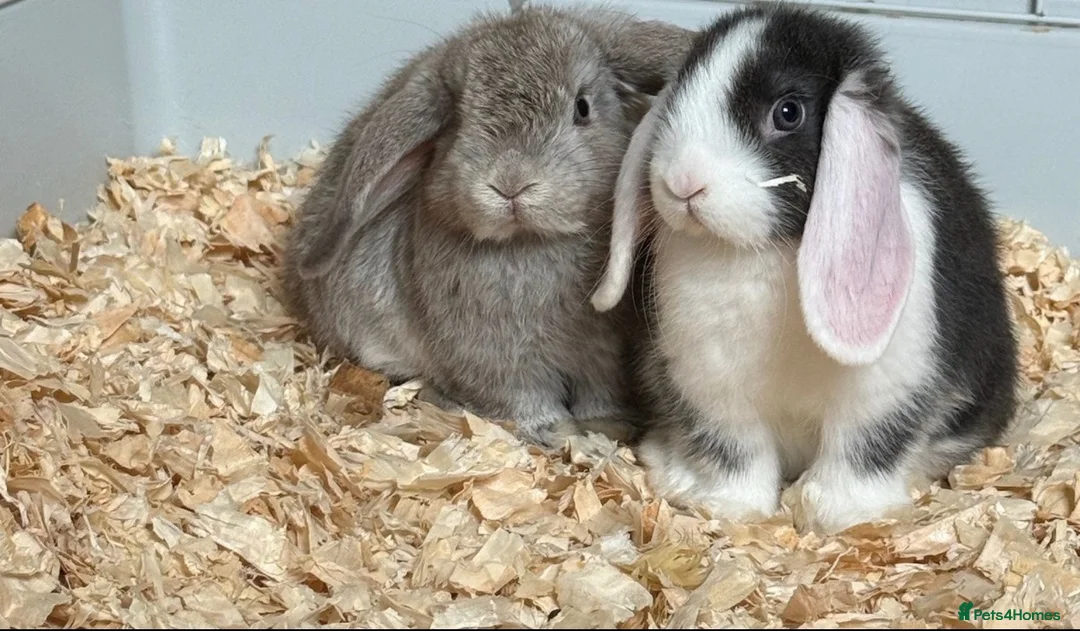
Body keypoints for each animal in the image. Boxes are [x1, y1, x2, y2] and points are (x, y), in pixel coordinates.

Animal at [281, 5, 695, 448]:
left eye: (582, 107)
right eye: (458, 120)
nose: (510, 183)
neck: (529, 242)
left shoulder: (604, 355)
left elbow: (600, 390)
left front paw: (607, 427)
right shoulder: (495, 361)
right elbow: (522, 397)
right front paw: (555, 431)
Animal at [589, 4, 1019, 534]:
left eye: (788, 112)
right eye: (681, 90)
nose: (683, 183)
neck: (762, 252)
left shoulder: (883, 395)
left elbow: (859, 453)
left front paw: (836, 515)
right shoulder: (711, 387)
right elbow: (739, 452)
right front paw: (732, 509)